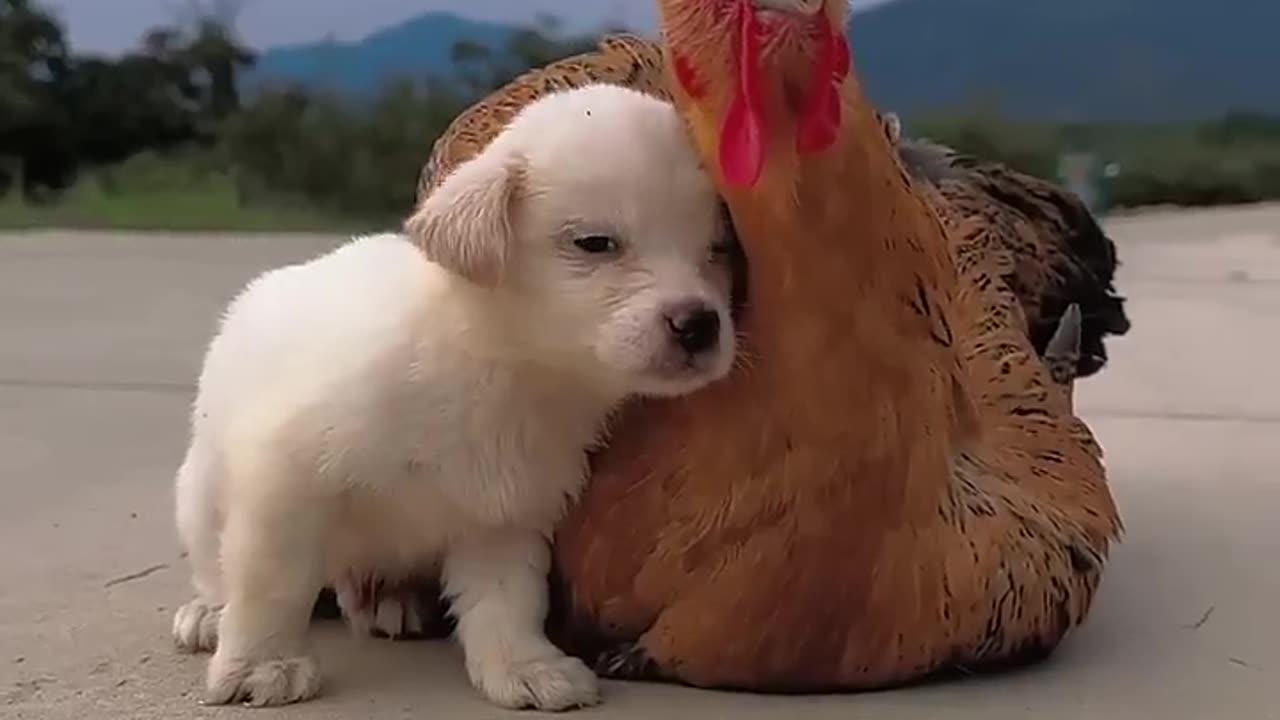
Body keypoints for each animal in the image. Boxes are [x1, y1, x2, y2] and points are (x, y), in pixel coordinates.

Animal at [167, 82, 742, 707]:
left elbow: (507, 600)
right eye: (595, 243)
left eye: (714, 251)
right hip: (199, 493)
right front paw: (261, 664)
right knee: (216, 567)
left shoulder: (505, 510)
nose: (699, 325)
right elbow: (271, 582)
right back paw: (207, 613)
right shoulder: (285, 478)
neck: (501, 365)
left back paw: (388, 597)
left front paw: (525, 667)